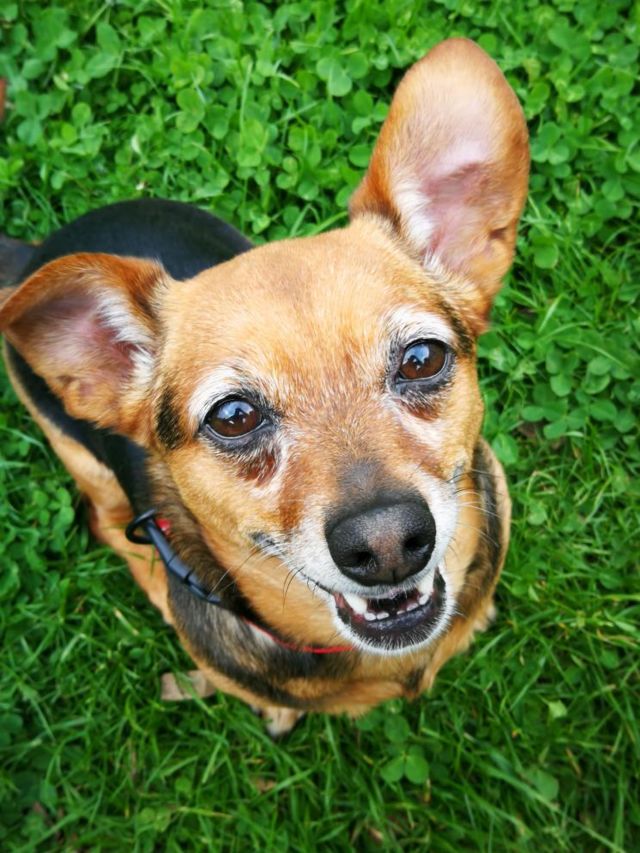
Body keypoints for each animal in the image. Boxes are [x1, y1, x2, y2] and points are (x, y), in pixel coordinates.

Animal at [0, 39, 529, 736]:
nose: (387, 543)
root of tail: (32, 255)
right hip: (84, 462)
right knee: (108, 525)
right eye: (233, 416)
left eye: (421, 358)